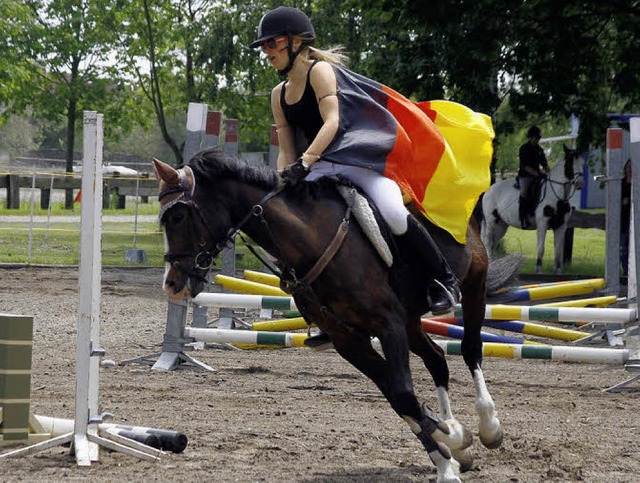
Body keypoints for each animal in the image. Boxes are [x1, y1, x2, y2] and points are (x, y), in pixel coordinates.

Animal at [154, 152, 520, 483]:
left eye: (179, 216)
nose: (171, 285)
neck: (310, 240)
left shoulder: (387, 325)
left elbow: (403, 394)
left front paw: (451, 451)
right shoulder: (350, 340)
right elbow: (399, 398)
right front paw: (449, 450)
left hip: (473, 286)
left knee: (471, 349)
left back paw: (489, 427)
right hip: (411, 321)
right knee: (437, 360)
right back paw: (455, 440)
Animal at [480, 146, 584, 274]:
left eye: (582, 163)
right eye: (570, 163)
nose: (580, 183)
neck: (557, 197)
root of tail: (488, 190)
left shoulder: (561, 226)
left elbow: (558, 251)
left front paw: (557, 271)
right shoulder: (542, 224)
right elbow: (540, 248)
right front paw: (538, 270)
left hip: (501, 226)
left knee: (493, 243)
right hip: (492, 223)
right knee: (488, 242)